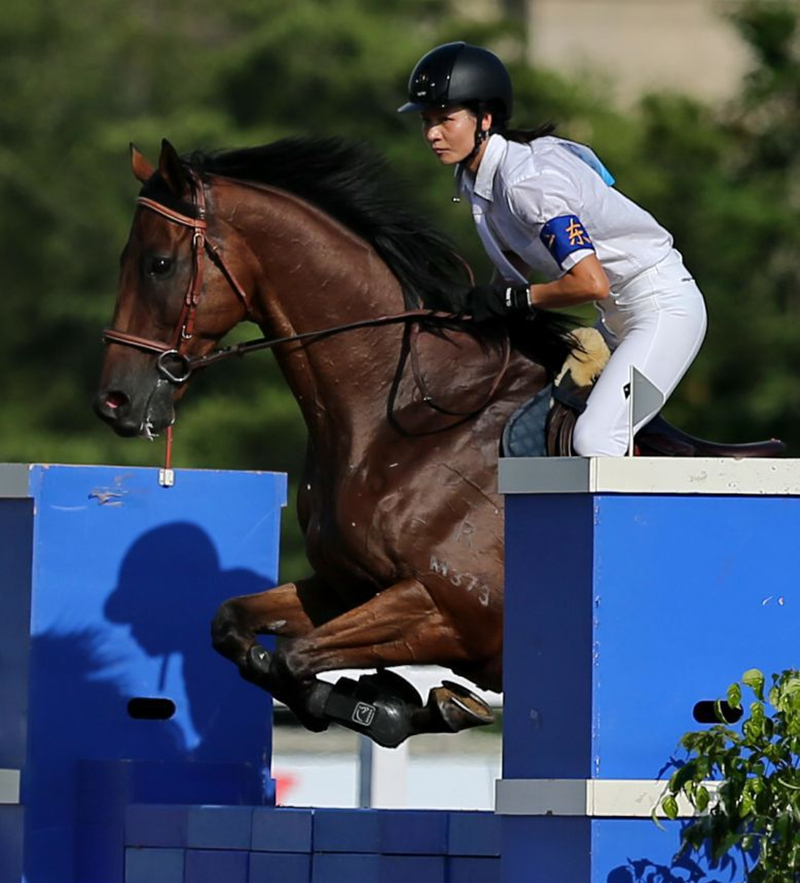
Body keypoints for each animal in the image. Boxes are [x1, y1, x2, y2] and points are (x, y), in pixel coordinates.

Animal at [94, 137, 781, 747]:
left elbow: (294, 655)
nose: (115, 402)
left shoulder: (448, 611)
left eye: (159, 264)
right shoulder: (347, 586)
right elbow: (235, 627)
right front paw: (396, 700)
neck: (400, 416)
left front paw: (399, 706)